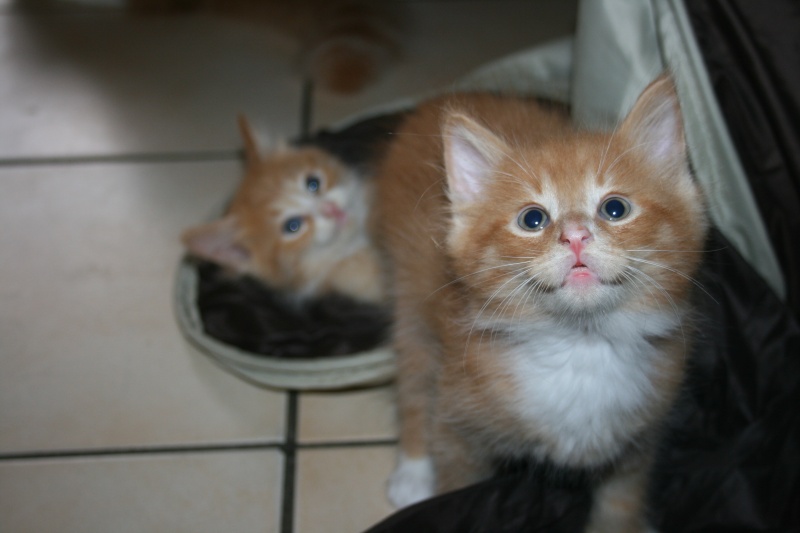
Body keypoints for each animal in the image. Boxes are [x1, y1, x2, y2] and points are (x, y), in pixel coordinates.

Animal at [376, 77, 708, 528]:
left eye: (615, 208)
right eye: (533, 219)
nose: (576, 236)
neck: (581, 345)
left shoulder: (639, 437)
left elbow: (621, 501)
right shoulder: (458, 429)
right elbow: (456, 487)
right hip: (410, 295)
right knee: (413, 378)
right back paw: (412, 471)